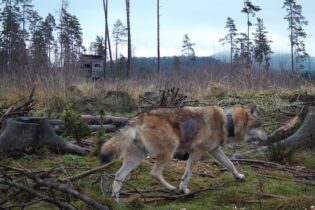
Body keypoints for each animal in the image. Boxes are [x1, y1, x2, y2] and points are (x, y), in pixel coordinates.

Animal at [100, 104, 268, 200]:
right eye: (260, 125)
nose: (268, 137)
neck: (228, 121)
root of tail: (138, 118)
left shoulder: (214, 151)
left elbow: (230, 164)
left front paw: (238, 176)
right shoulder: (198, 151)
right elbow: (187, 173)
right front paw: (184, 189)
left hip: (136, 158)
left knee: (119, 176)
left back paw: (115, 201)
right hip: (169, 151)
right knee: (154, 173)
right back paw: (171, 188)